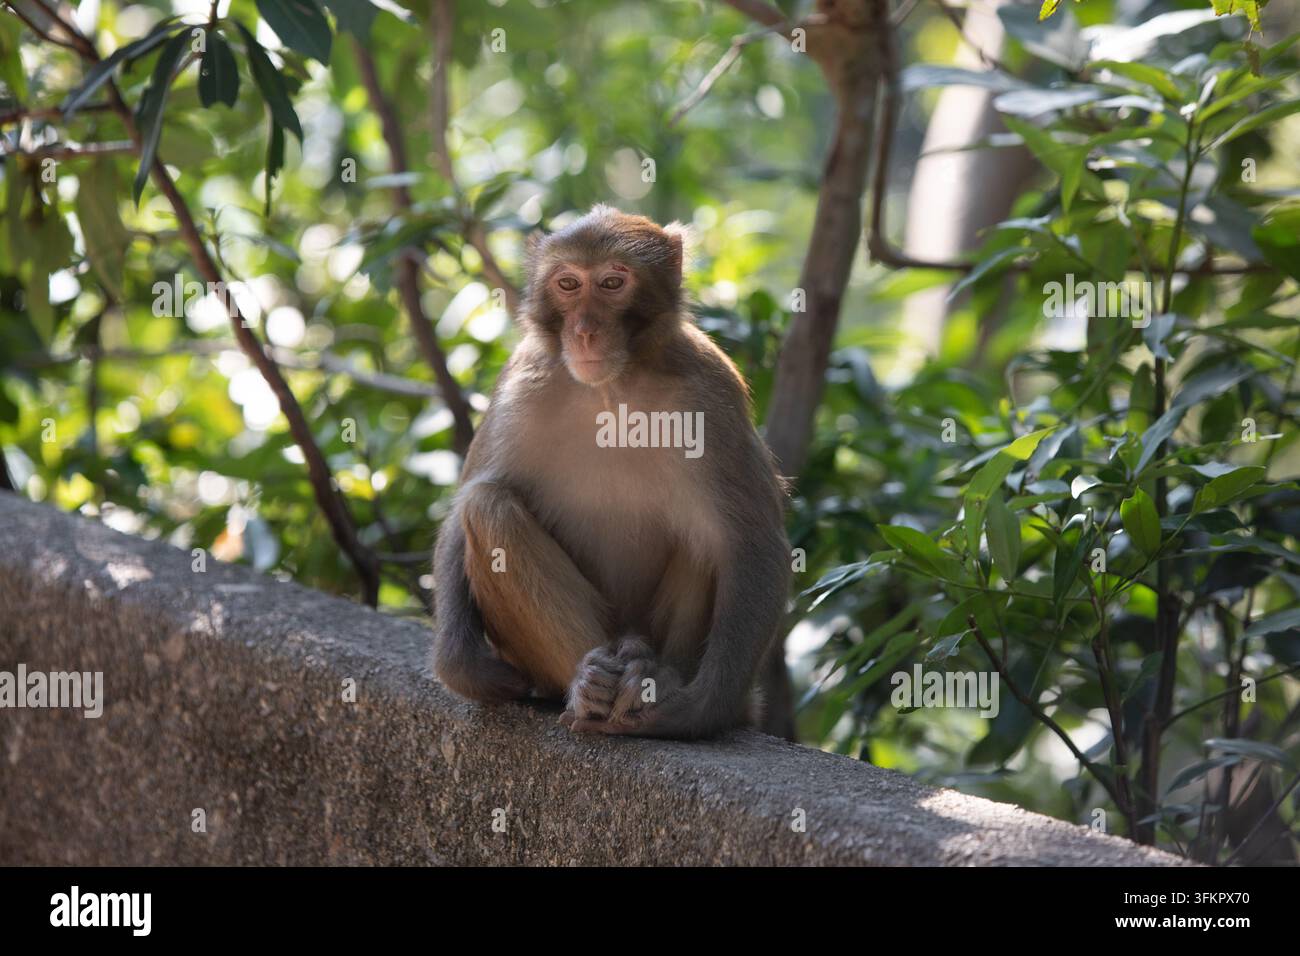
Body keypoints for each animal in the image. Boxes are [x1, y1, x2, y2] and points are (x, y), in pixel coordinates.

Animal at [432, 205, 790, 739]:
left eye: (612, 283)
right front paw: (463, 668)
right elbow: (465, 507)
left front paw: (698, 708)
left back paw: (648, 673)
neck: (609, 387)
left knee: (707, 536)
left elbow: (751, 539)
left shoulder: (710, 392)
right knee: (487, 506)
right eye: (567, 284)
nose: (584, 330)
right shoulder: (522, 381)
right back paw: (591, 685)